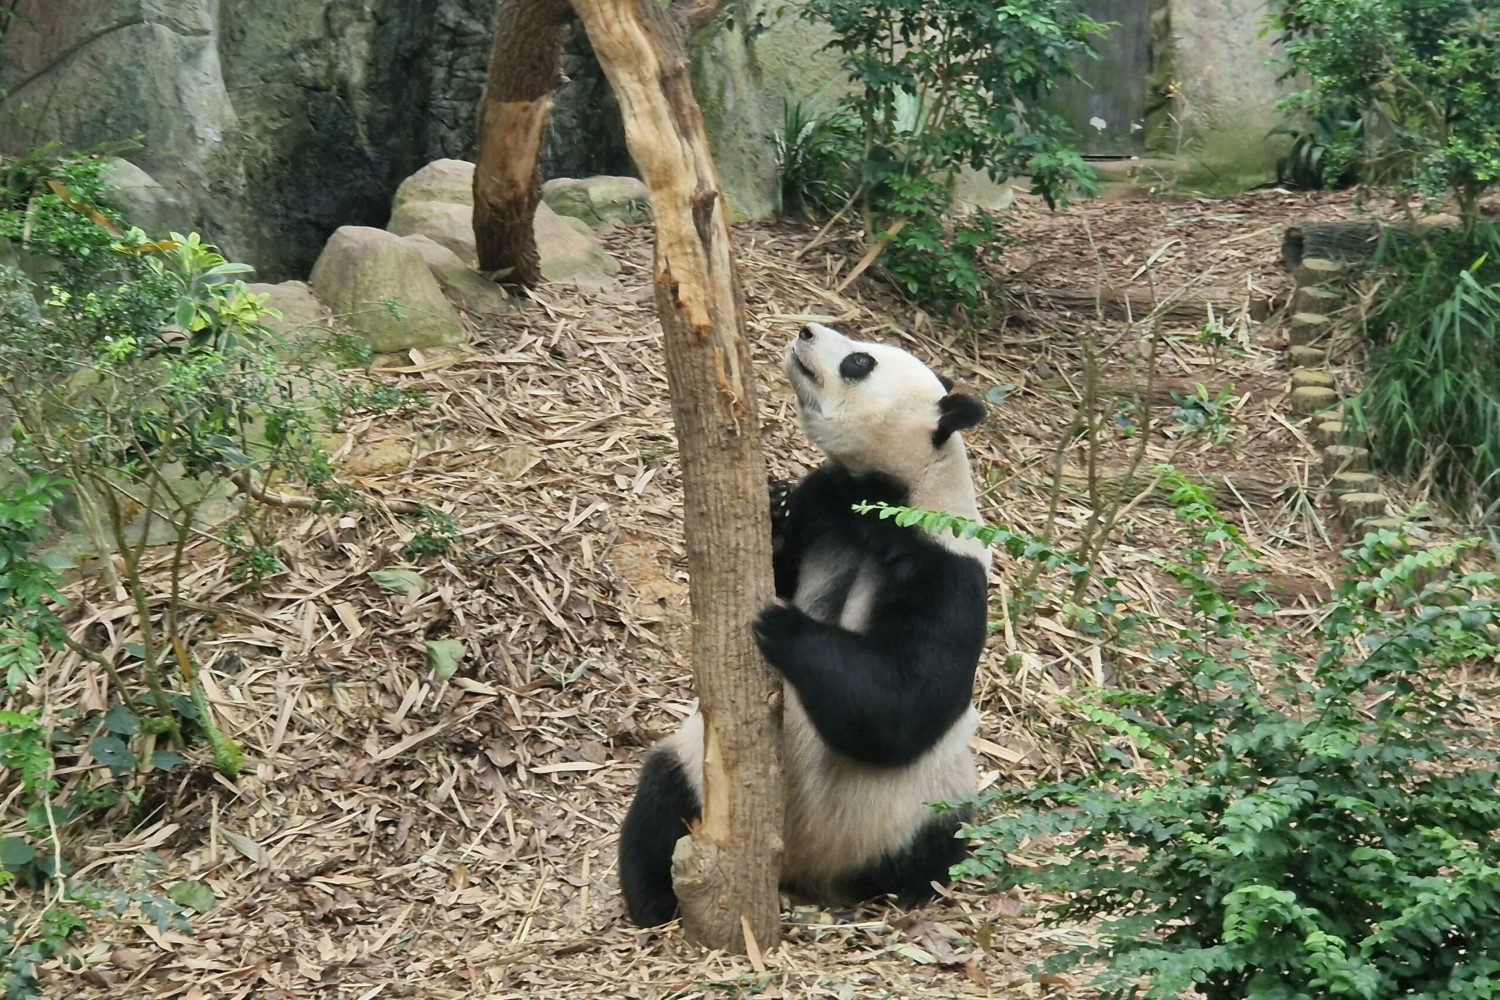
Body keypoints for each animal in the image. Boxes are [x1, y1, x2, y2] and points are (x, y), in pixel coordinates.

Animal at [618, 322, 990, 927]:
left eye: (859, 362)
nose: (806, 330)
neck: (889, 491)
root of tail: (800, 871)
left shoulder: (948, 569)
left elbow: (905, 705)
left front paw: (784, 624)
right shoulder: (826, 504)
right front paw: (770, 514)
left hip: (921, 802)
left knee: (942, 839)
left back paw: (909, 892)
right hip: (692, 768)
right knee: (659, 802)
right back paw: (654, 899)